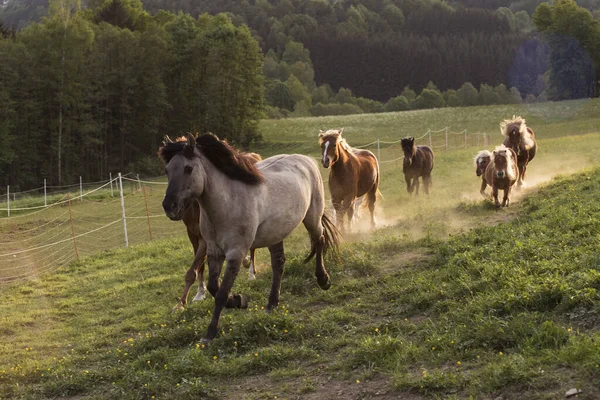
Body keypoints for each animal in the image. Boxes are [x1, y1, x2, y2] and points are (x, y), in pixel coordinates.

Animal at [159, 136, 262, 310]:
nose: (169, 206)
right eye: (166, 170)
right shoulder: (193, 235)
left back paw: (250, 272)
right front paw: (196, 295)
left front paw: (181, 303)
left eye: (188, 169)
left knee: (253, 248)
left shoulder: (206, 240)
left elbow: (193, 270)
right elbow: (199, 267)